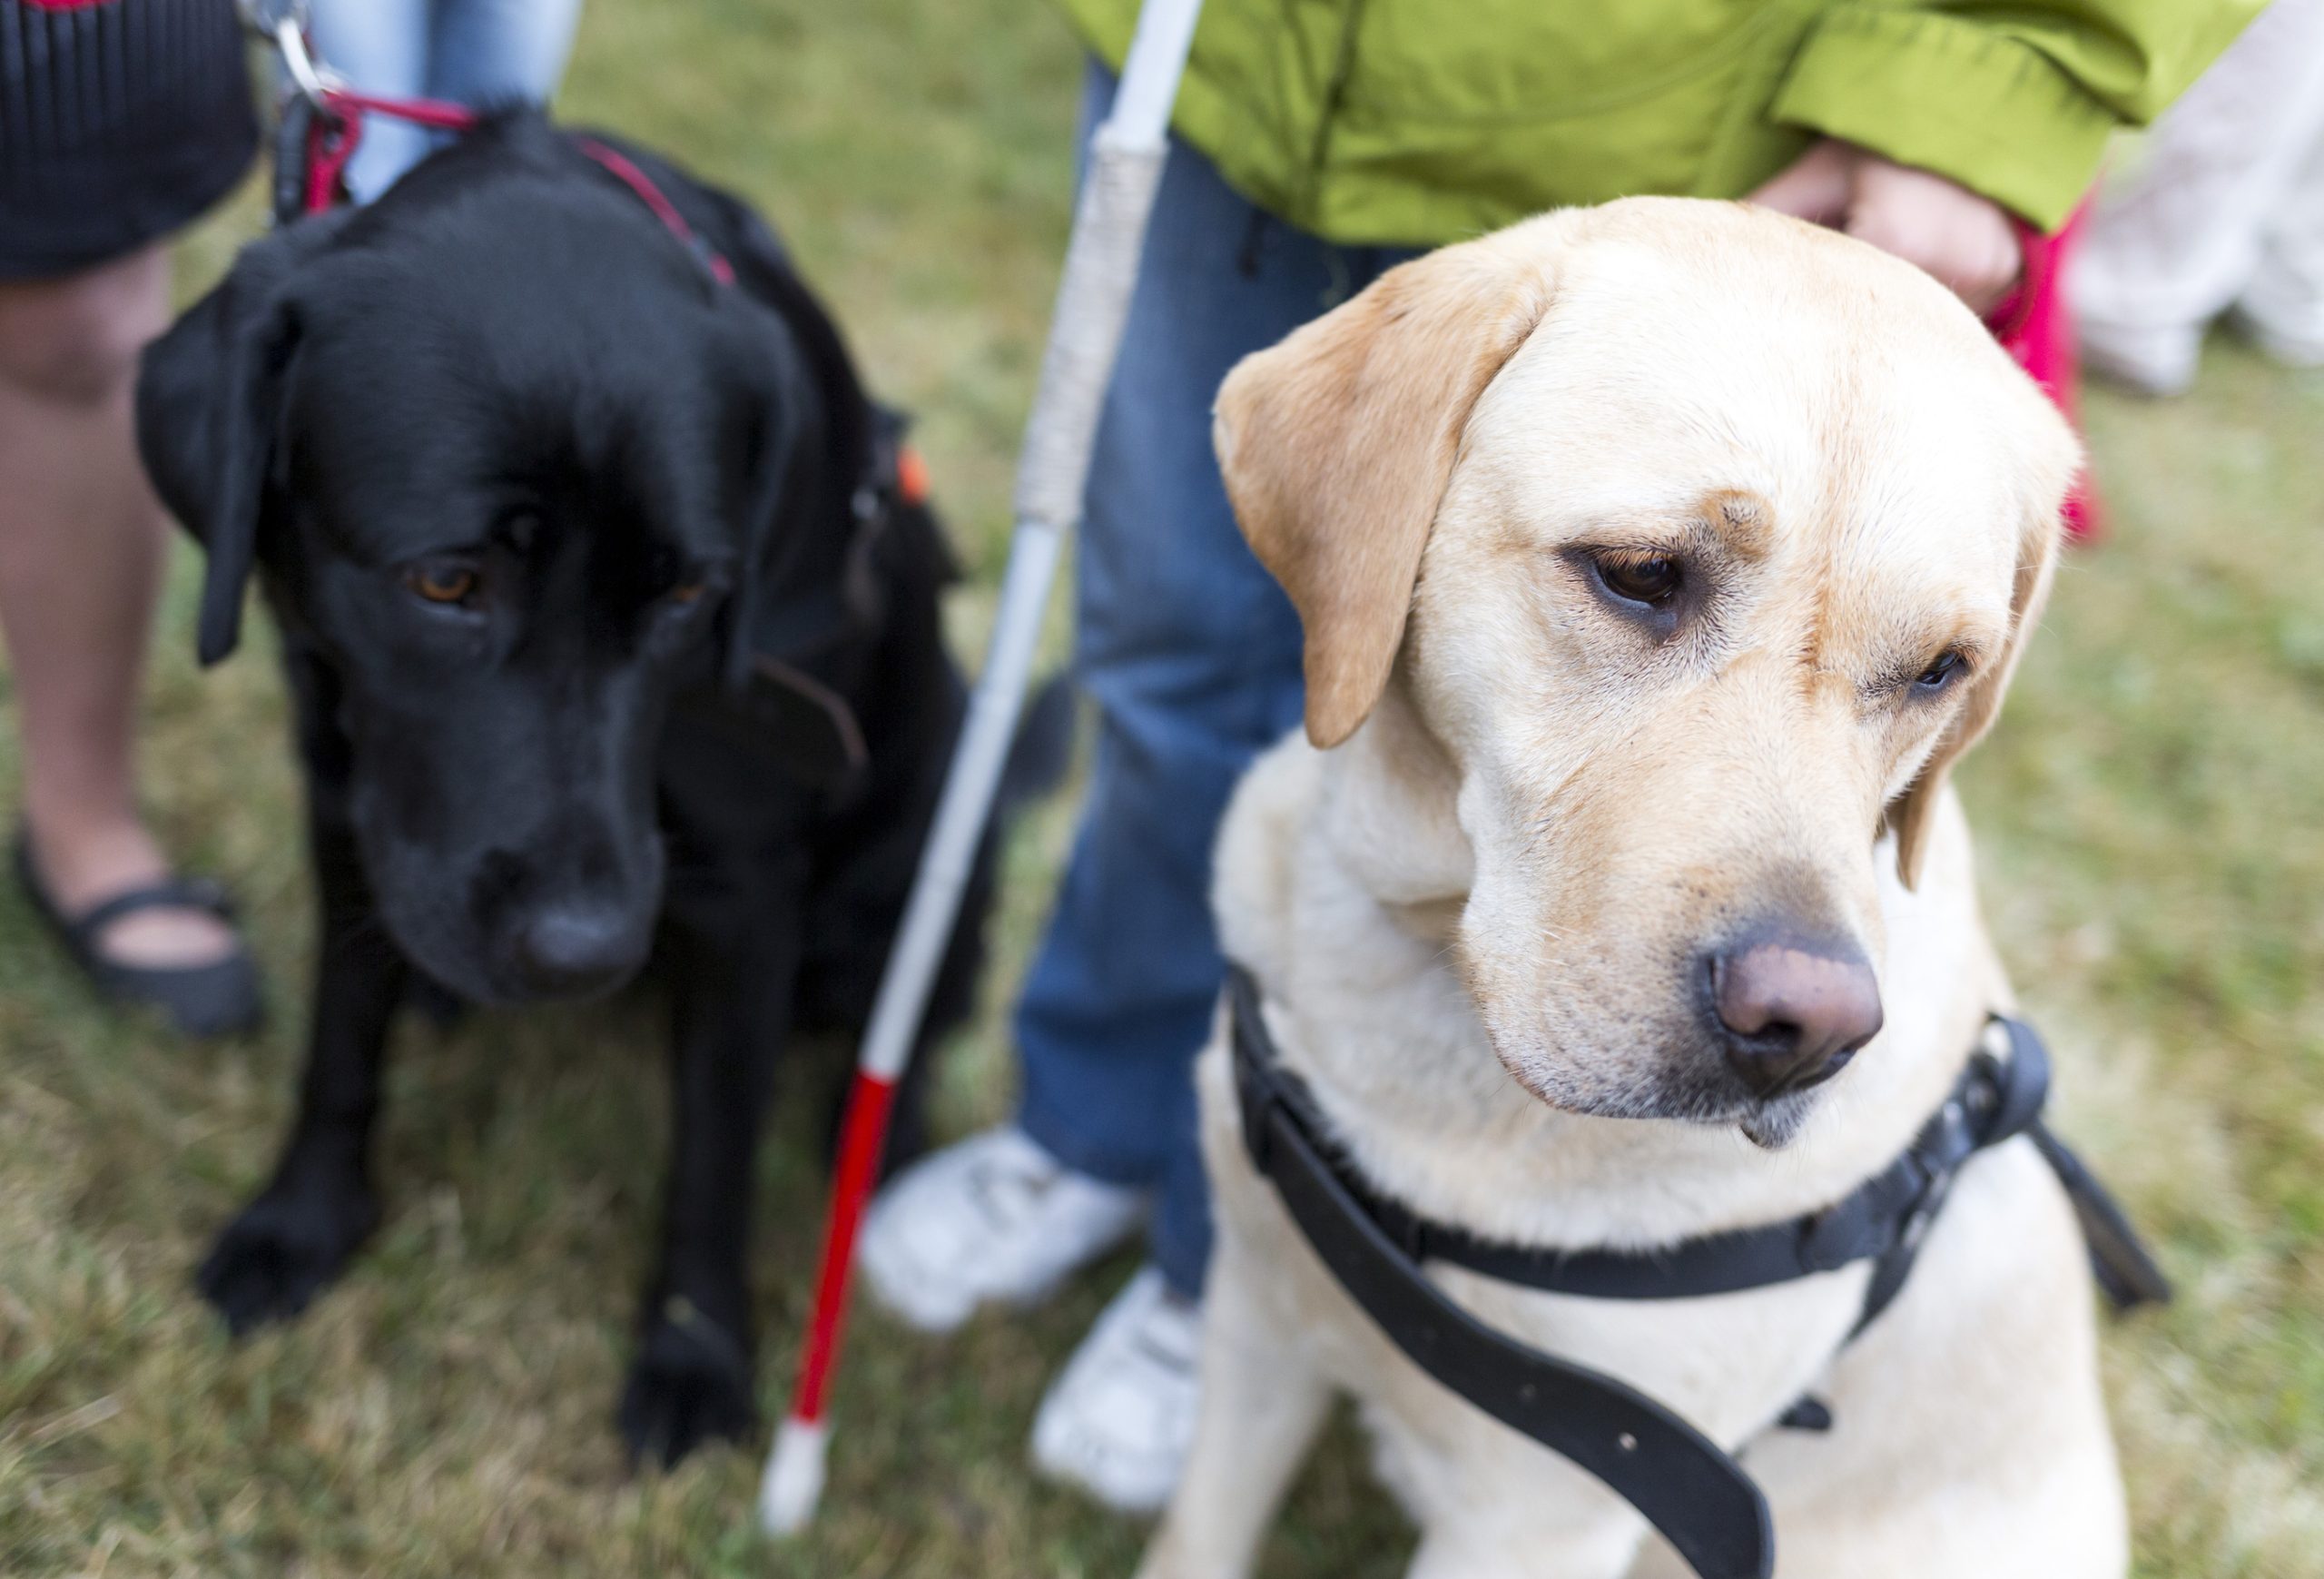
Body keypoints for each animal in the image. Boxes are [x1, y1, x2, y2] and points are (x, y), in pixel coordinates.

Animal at [135, 114, 1046, 1469]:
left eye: (686, 593)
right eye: (446, 581)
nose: (584, 953)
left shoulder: (745, 886)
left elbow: (714, 1148)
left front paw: (694, 1355)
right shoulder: (353, 796)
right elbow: (340, 1041)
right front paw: (300, 1223)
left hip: (939, 852)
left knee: (912, 1023)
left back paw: (878, 1151)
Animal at [1138, 197, 2128, 1579]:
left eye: (1941, 668)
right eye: (1641, 571)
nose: (1807, 1030)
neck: (1426, 1007)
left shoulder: (1541, 1516)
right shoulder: (1259, 1318)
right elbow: (1195, 1535)